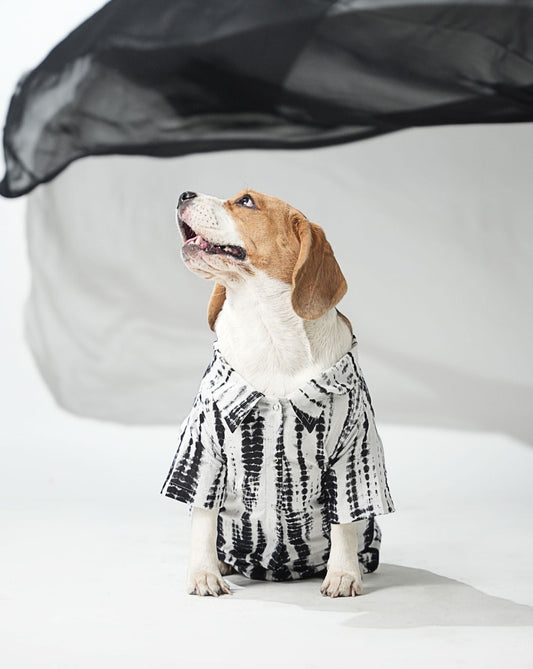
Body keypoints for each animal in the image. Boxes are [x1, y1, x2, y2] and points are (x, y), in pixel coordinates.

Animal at [172, 187, 388, 596]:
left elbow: (345, 523)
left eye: (245, 201)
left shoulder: (354, 451)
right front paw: (203, 574)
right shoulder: (204, 448)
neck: (270, 333)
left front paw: (343, 573)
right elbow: (203, 515)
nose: (183, 194)